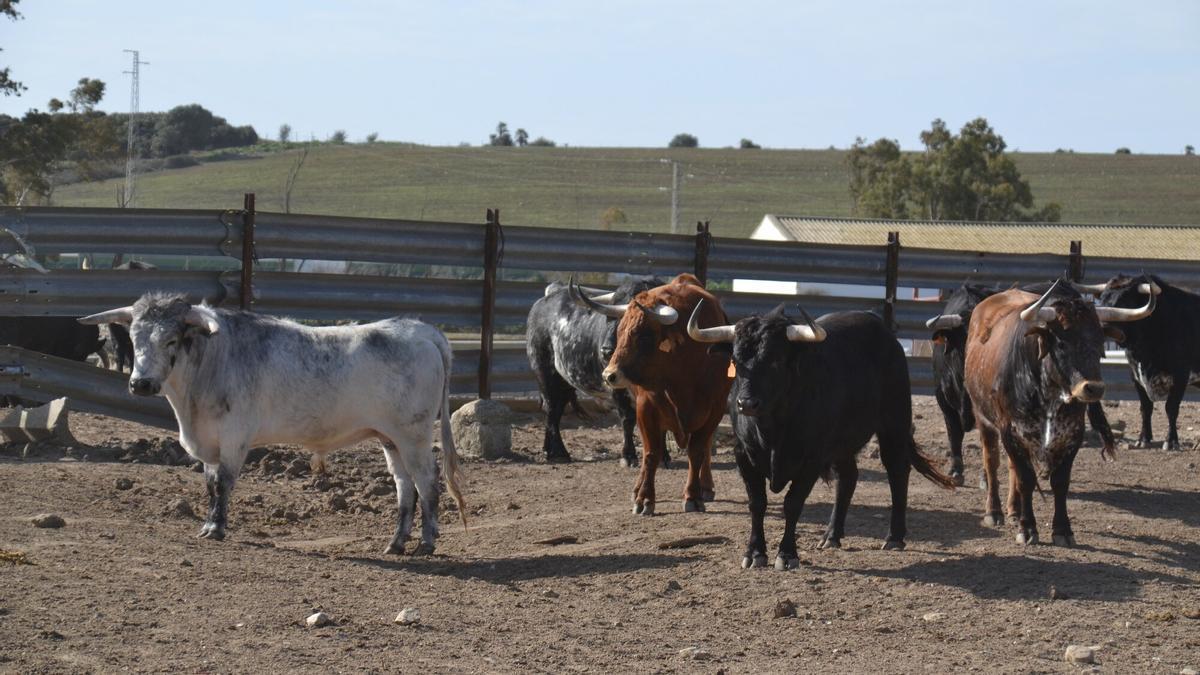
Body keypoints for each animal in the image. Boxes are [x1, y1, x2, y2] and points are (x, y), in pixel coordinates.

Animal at [79, 290, 463, 552]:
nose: (140, 383)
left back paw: (426, 542)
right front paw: (207, 524)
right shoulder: (209, 443)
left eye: (171, 339)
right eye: (133, 338)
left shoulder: (235, 437)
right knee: (404, 485)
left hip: (413, 435)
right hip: (390, 438)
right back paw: (396, 543)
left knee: (427, 482)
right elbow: (210, 485)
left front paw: (217, 528)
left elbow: (224, 484)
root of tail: (421, 330)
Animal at [571, 270, 729, 511]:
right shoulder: (646, 408)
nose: (609, 375)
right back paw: (638, 488)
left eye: (643, 335)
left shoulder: (714, 411)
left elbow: (697, 451)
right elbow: (650, 453)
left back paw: (706, 486)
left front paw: (693, 496)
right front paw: (644, 498)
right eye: (620, 330)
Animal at [960, 281, 1147, 542]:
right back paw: (994, 512)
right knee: (992, 461)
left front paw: (1062, 529)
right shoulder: (1010, 431)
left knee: (1011, 468)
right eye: (1061, 343)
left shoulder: (1072, 434)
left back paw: (1014, 510)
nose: (1094, 388)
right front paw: (1027, 529)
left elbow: (1059, 482)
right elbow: (1026, 479)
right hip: (983, 418)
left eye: (1100, 342)